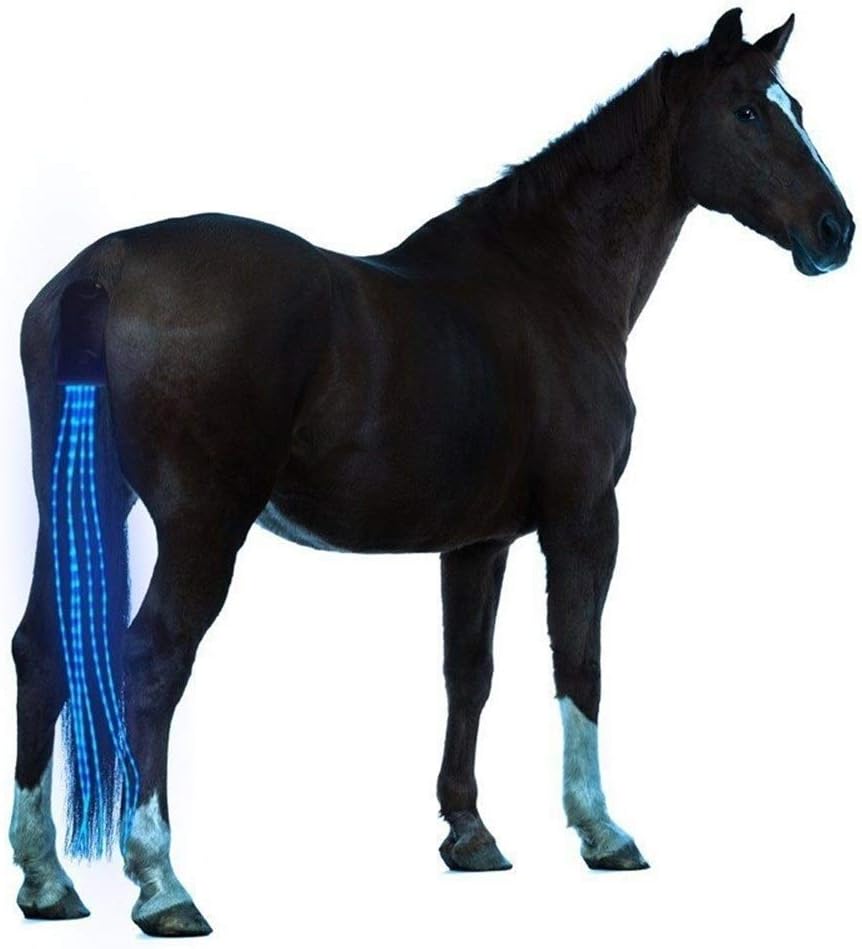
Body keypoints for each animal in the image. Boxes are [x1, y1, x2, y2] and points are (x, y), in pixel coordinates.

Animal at [8, 7, 853, 938]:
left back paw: (47, 878)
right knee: (153, 660)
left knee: (40, 650)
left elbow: (468, 673)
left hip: (77, 499)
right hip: (203, 524)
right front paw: (602, 830)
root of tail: (107, 264)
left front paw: (470, 832)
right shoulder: (585, 517)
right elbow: (580, 661)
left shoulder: (478, 542)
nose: (835, 231)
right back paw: (162, 884)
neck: (550, 279)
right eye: (748, 111)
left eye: (797, 106)